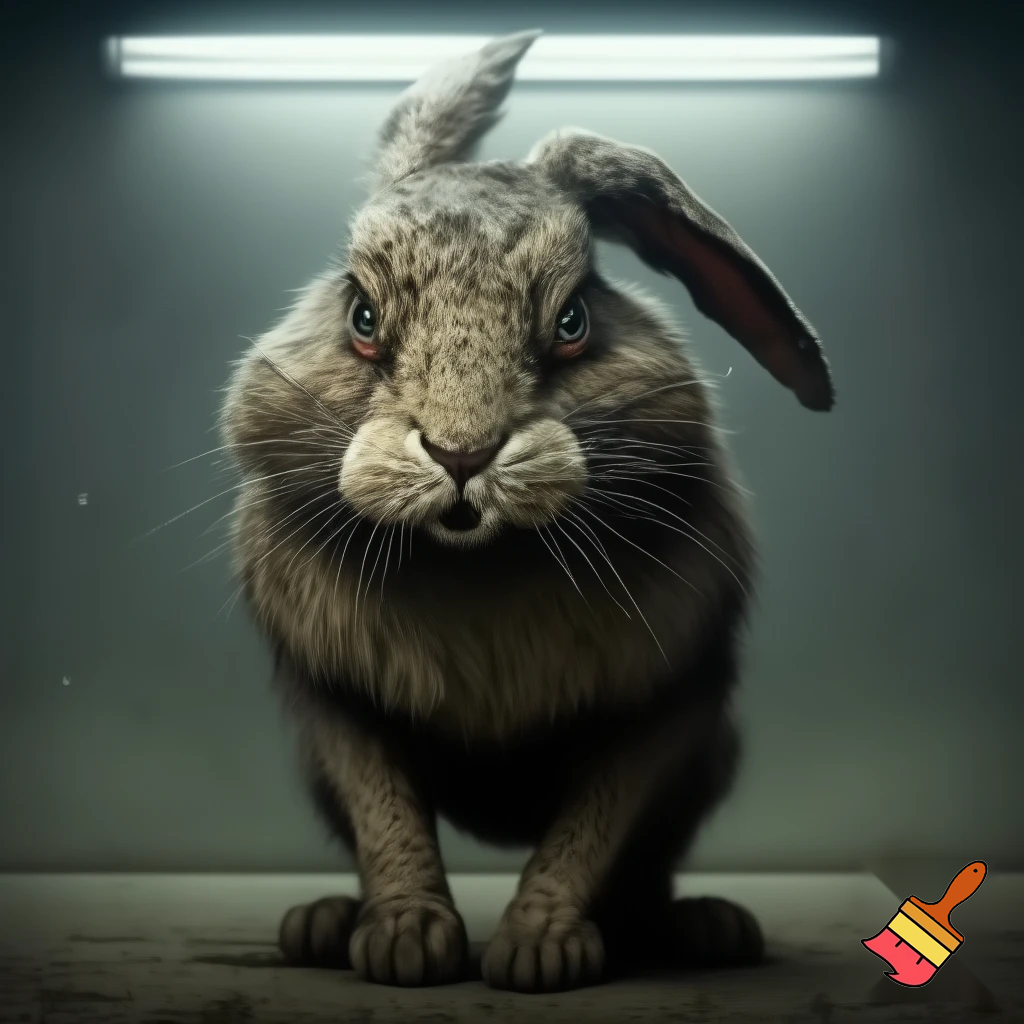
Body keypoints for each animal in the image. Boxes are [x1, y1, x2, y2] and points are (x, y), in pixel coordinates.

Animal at [220, 29, 834, 993]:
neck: (478, 571)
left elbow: (589, 832)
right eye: (362, 315)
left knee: (647, 870)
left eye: (575, 319)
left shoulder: (667, 713)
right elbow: (387, 818)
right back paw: (319, 924)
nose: (462, 454)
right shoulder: (337, 711)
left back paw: (703, 928)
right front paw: (403, 943)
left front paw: (540, 952)